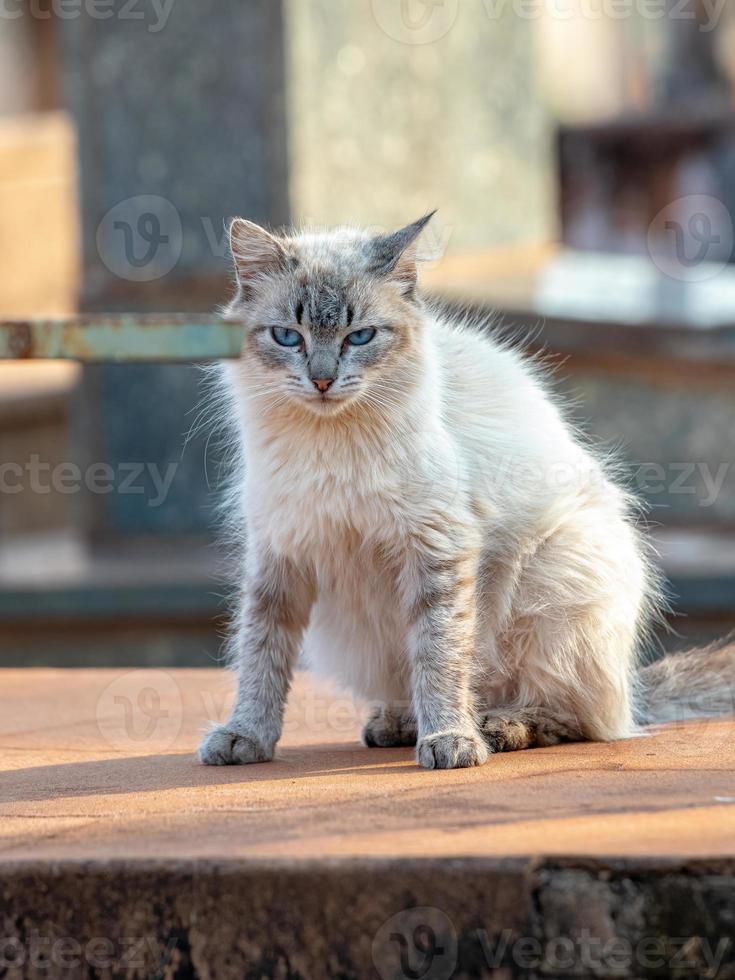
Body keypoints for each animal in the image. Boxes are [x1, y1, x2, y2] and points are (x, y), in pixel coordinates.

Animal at [198, 212, 732, 764]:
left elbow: (440, 656)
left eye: (360, 336)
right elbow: (260, 655)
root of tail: (632, 690)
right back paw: (398, 724)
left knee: (577, 717)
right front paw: (245, 737)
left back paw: (496, 727)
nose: (322, 381)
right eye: (287, 337)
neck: (329, 444)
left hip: (553, 586)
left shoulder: (438, 548)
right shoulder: (279, 556)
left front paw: (451, 740)